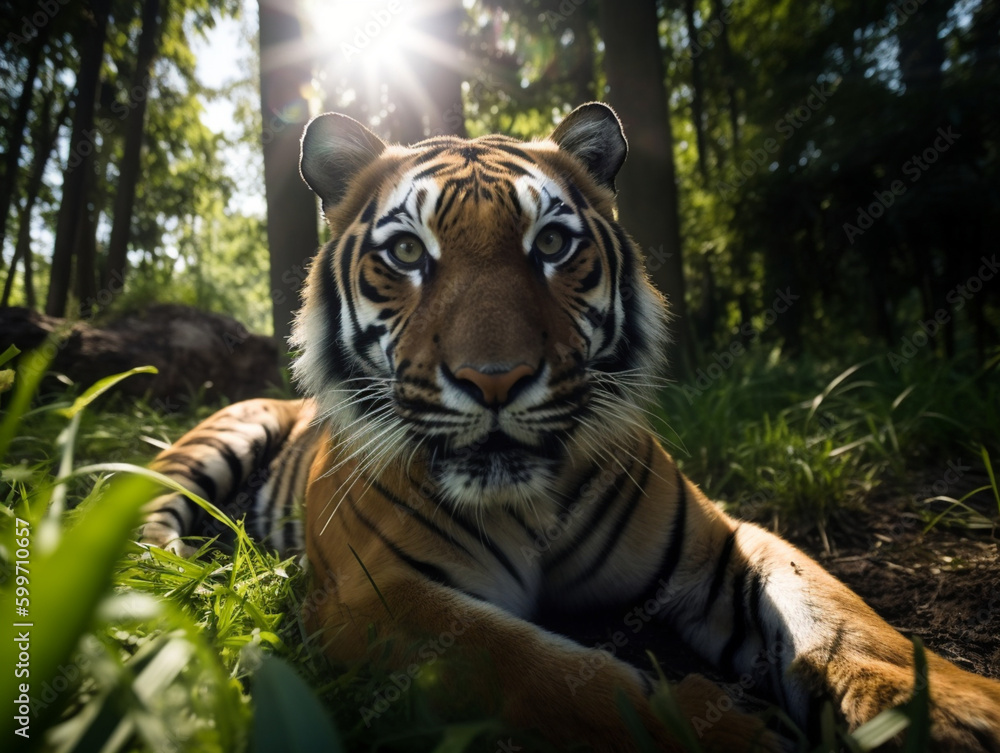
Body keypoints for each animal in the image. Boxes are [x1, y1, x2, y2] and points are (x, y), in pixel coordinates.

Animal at [138, 102, 1000, 752]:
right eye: (408, 252)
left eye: (552, 243)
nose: (495, 378)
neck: (529, 501)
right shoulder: (375, 595)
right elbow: (548, 671)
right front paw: (729, 733)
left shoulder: (720, 542)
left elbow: (840, 616)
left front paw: (950, 714)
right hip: (219, 438)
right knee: (146, 522)